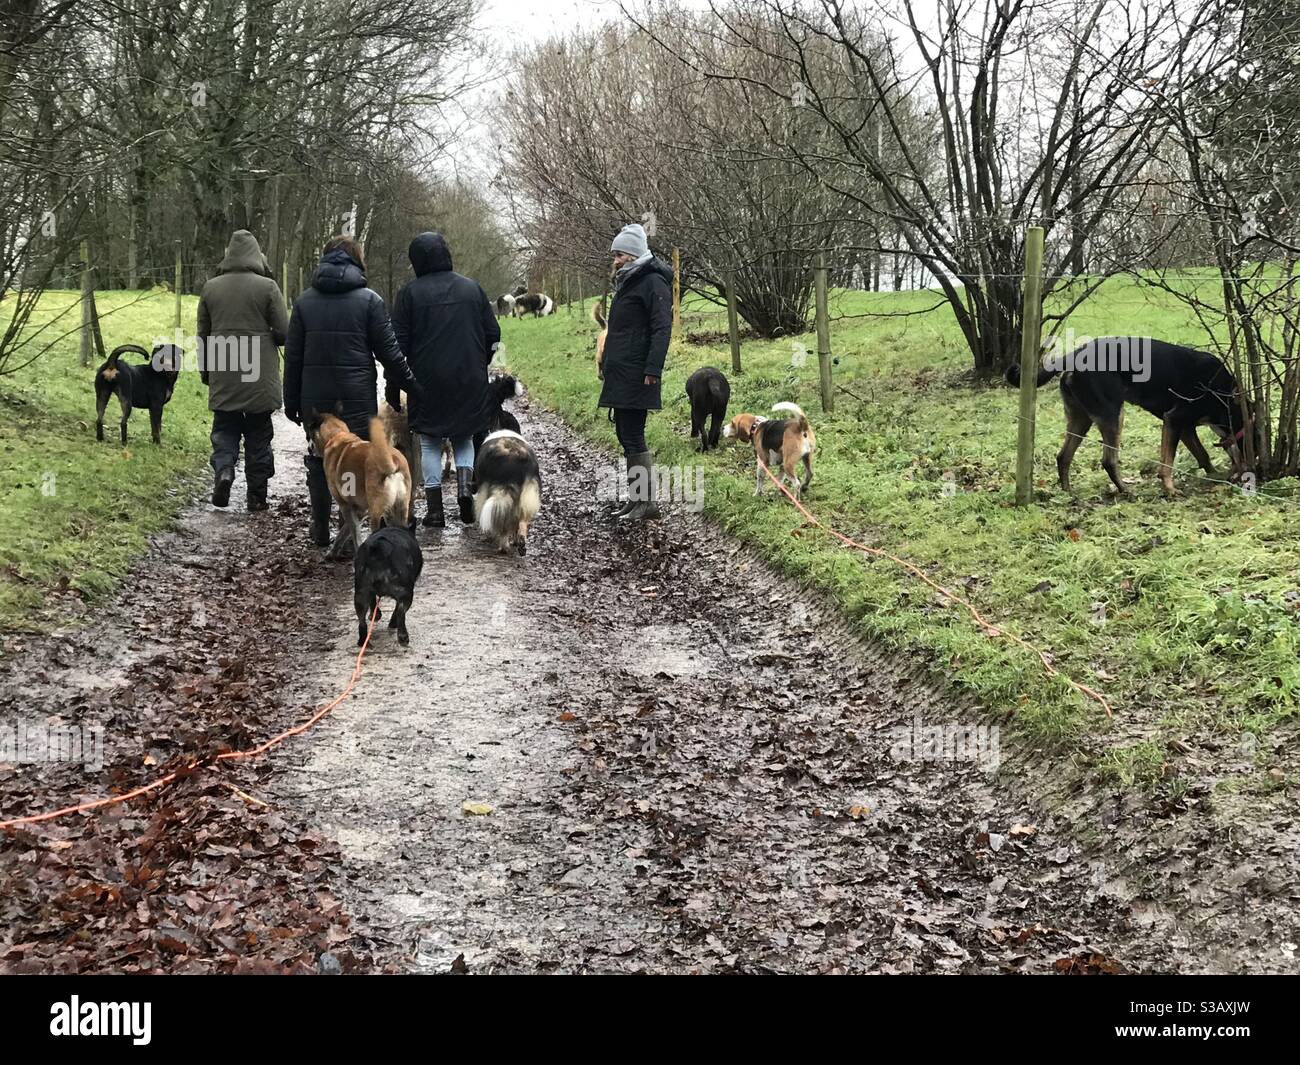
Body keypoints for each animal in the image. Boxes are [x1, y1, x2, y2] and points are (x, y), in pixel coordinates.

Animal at [1008, 338, 1253, 496]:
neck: (1225, 397)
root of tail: (1075, 355)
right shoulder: (1174, 419)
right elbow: (1167, 463)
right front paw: (1170, 489)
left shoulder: (1184, 427)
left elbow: (1202, 455)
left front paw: (1214, 476)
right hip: (1113, 415)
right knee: (1108, 461)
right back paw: (1125, 490)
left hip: (1081, 419)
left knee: (1063, 457)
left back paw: (1068, 493)